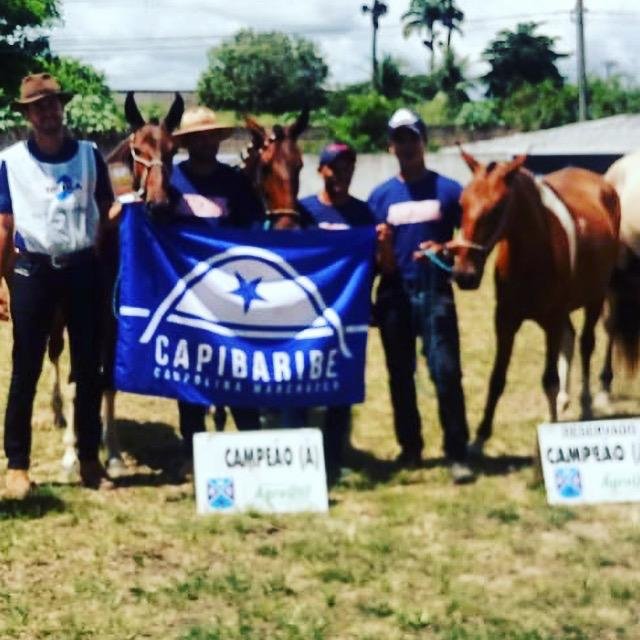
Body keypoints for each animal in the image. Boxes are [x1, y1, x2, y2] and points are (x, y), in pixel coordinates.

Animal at [51, 91, 184, 475]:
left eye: (173, 150)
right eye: (138, 148)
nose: (159, 205)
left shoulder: (112, 320)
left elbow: (108, 379)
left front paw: (112, 454)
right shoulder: (77, 316)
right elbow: (74, 378)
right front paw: (71, 453)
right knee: (56, 359)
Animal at [449, 149, 620, 452]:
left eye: (497, 208)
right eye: (462, 203)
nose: (464, 275)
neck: (531, 256)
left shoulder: (551, 321)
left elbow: (549, 379)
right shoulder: (505, 320)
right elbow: (497, 379)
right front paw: (480, 437)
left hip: (596, 297)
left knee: (587, 344)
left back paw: (587, 404)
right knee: (571, 338)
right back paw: (565, 399)